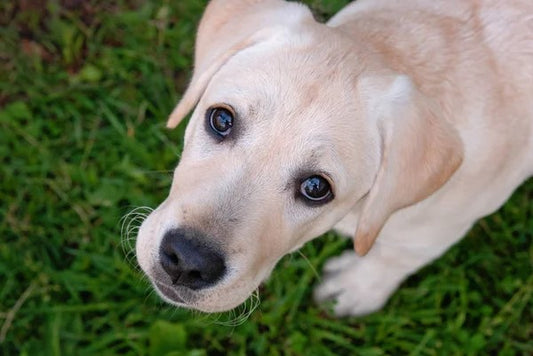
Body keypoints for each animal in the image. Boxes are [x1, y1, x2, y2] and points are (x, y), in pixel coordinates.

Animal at [136, 0, 532, 318]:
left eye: (316, 188)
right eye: (221, 120)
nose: (188, 261)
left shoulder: (438, 228)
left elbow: (394, 257)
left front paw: (355, 289)